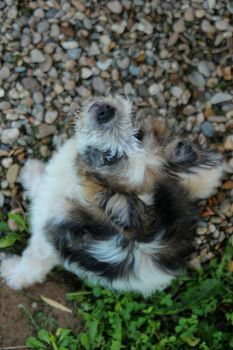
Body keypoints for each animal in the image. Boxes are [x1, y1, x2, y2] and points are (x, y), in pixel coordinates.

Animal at [0, 95, 225, 296]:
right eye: (139, 134)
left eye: (111, 159)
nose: (105, 112)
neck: (82, 183)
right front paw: (32, 171)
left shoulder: (48, 237)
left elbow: (33, 261)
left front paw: (11, 271)